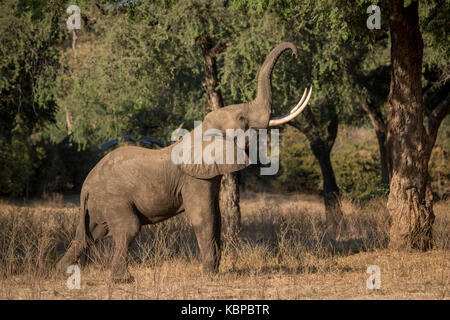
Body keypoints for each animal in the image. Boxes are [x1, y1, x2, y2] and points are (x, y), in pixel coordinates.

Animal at [54, 40, 312, 282]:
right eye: (241, 118)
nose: (296, 53)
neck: (202, 131)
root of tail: (86, 185)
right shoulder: (194, 178)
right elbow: (204, 218)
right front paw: (208, 276)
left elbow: (216, 216)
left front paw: (213, 272)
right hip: (114, 198)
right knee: (127, 229)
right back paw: (123, 279)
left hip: (99, 204)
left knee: (87, 236)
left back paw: (59, 272)